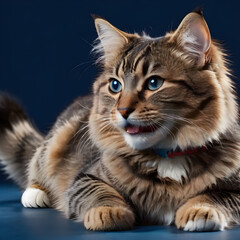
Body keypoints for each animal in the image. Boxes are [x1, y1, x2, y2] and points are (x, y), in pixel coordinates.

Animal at [0, 9, 240, 232]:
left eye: (154, 83)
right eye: (115, 86)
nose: (123, 110)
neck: (166, 155)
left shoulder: (235, 188)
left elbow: (214, 196)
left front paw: (198, 211)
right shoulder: (85, 177)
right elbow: (100, 193)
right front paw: (108, 212)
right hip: (55, 141)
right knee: (35, 164)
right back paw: (35, 194)